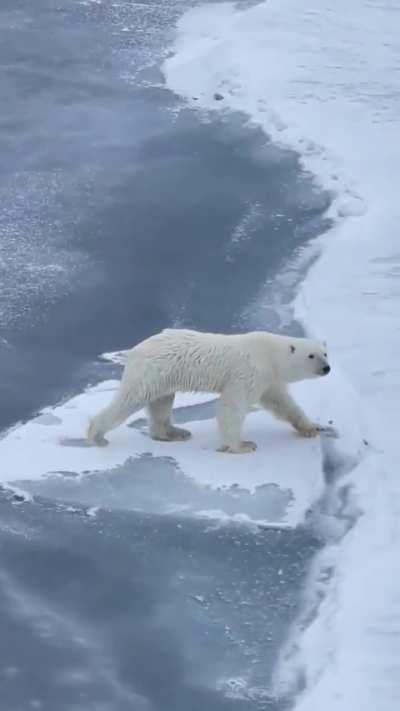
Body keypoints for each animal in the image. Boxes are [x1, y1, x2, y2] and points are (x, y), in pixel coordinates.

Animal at [87, 328, 330, 454]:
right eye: (311, 355)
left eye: (325, 353)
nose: (327, 368)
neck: (270, 354)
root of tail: (134, 350)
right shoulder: (249, 371)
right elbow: (232, 405)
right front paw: (243, 445)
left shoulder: (268, 379)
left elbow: (282, 402)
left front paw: (311, 428)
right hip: (152, 371)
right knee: (131, 398)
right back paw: (96, 435)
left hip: (163, 377)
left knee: (161, 403)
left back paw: (174, 433)